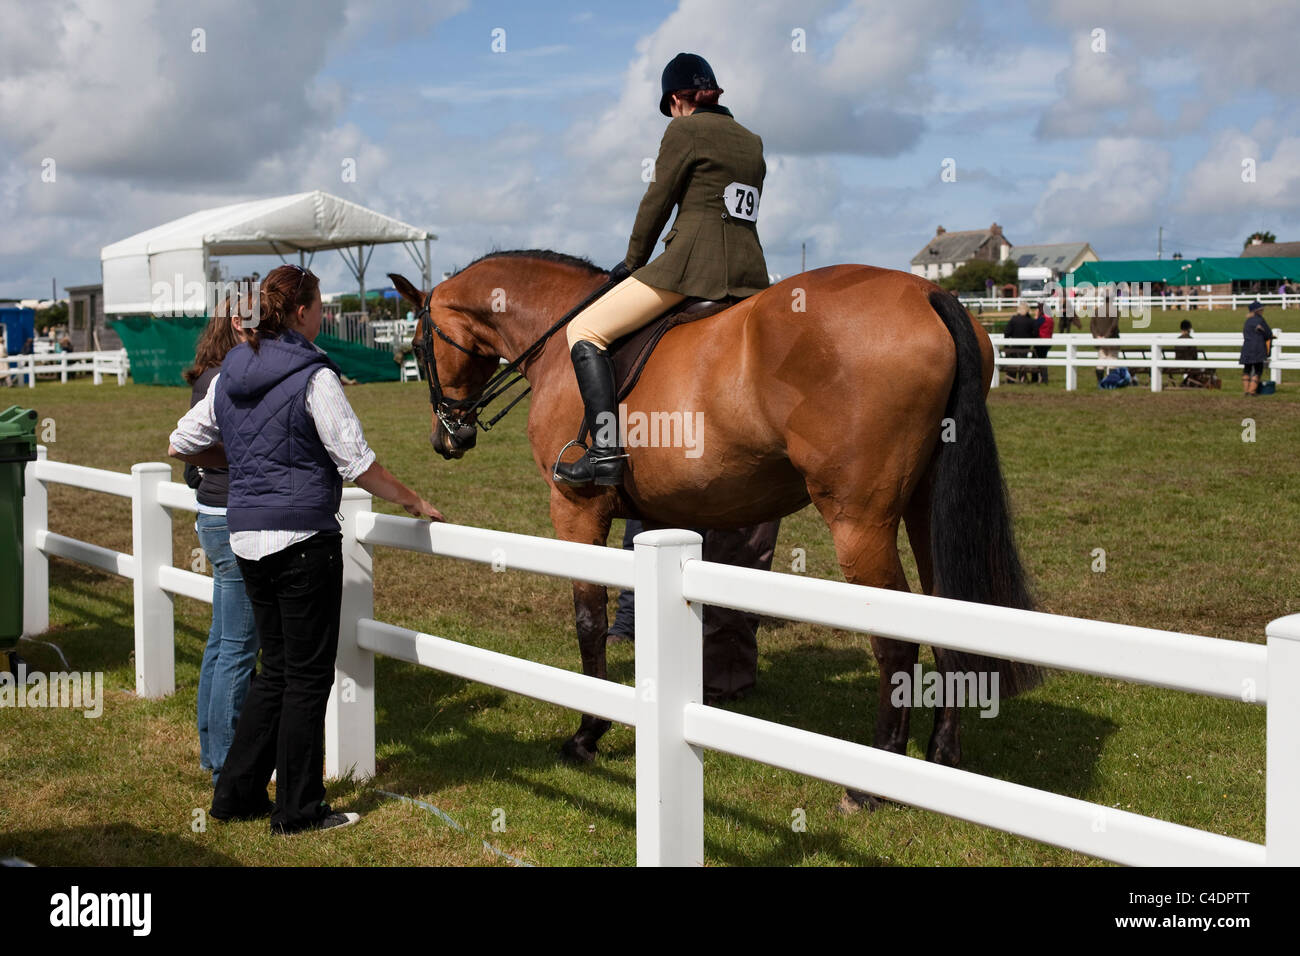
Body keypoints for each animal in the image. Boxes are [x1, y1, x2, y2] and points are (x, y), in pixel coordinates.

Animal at [389, 250, 1039, 810]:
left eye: (417, 344)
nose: (447, 438)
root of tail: (928, 292)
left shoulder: (575, 507)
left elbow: (588, 620)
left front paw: (587, 735)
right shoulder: (663, 514)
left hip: (861, 522)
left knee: (897, 641)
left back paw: (871, 783)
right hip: (925, 506)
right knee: (948, 615)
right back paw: (941, 757)